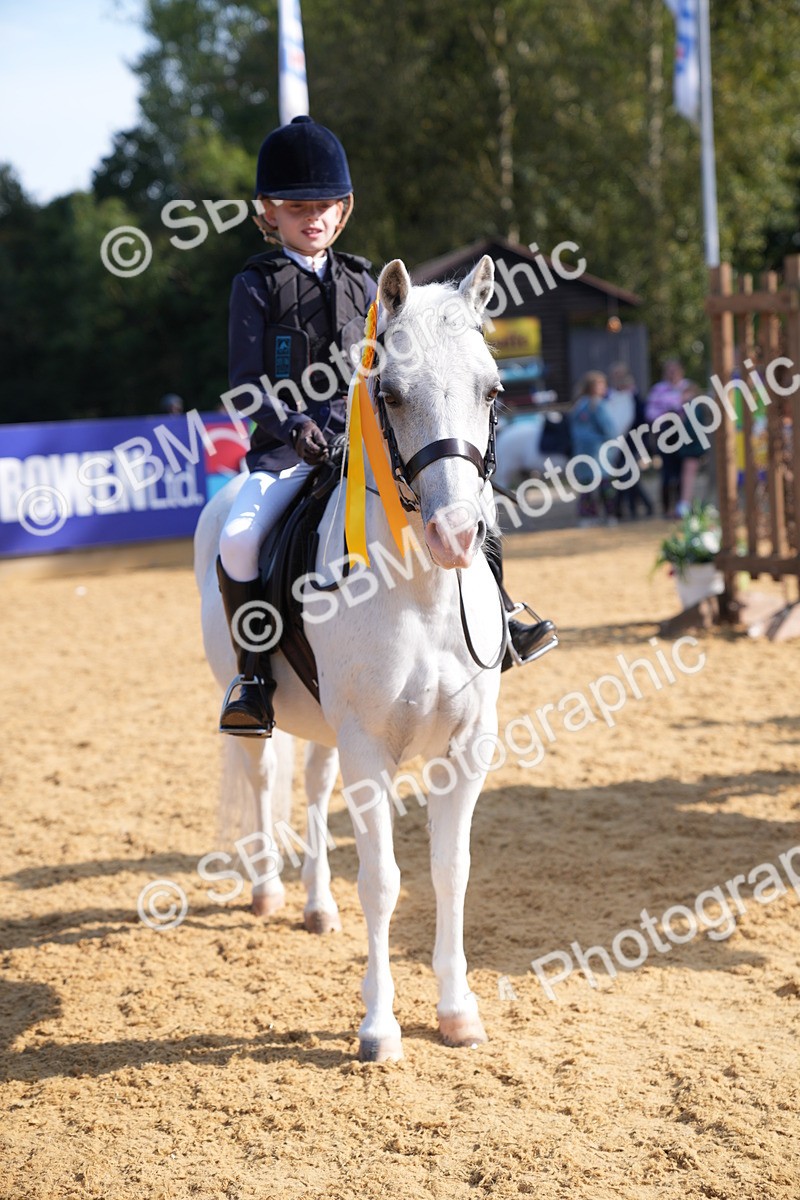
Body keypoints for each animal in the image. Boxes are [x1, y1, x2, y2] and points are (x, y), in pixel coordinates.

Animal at [194, 255, 506, 1062]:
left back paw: (315, 904)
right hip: (258, 704)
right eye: (389, 393)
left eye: (492, 388)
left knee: (310, 786)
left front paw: (457, 1013)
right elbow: (384, 882)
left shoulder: (466, 748)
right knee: (264, 775)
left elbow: (450, 872)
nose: (457, 536)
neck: (422, 592)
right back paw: (270, 891)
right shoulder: (371, 747)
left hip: (329, 726)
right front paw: (379, 1029)